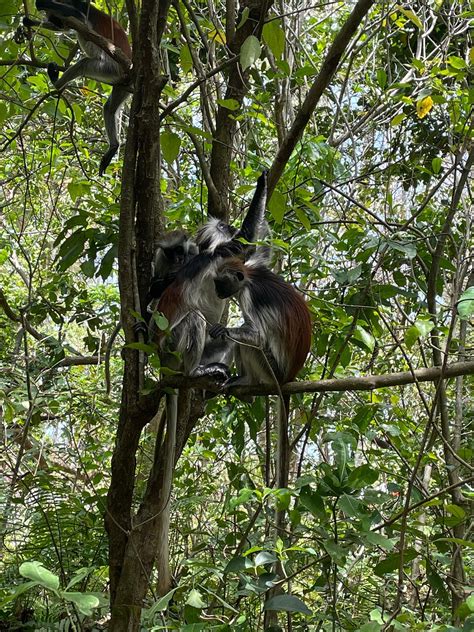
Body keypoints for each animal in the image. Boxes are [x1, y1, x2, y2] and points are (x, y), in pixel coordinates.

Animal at [24, 0, 131, 174]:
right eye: (54, 21)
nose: (54, 20)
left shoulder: (81, 7)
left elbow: (79, 19)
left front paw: (44, 3)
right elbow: (67, 26)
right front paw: (29, 22)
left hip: (110, 68)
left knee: (84, 64)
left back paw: (57, 85)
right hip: (122, 86)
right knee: (109, 108)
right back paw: (114, 146)